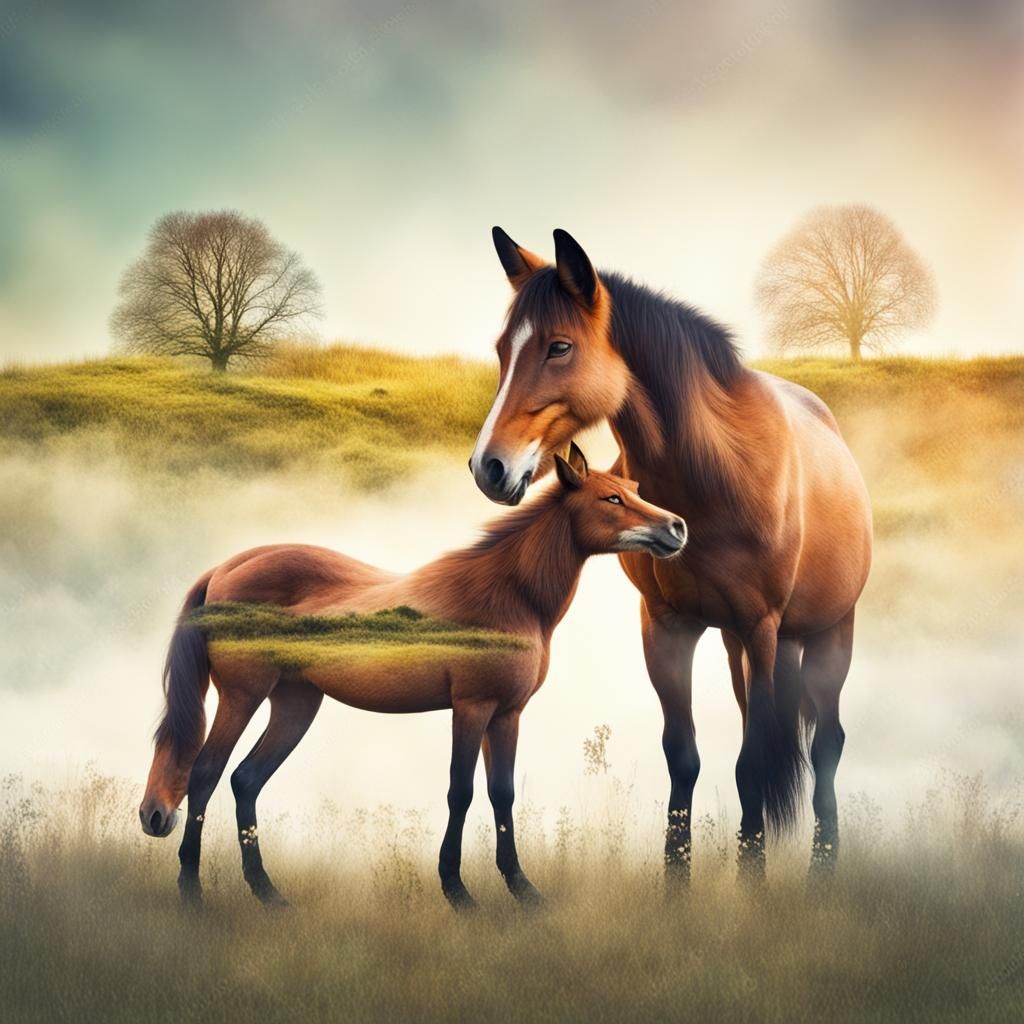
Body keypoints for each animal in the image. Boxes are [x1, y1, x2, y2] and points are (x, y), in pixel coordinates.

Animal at [139, 445, 687, 909]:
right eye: (611, 497)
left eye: (634, 488)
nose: (677, 527)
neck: (507, 595)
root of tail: (225, 568)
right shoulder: (471, 707)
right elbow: (461, 791)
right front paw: (457, 891)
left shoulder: (507, 713)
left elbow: (502, 793)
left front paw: (524, 891)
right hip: (243, 695)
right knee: (206, 773)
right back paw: (192, 891)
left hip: (296, 704)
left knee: (246, 779)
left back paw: (269, 894)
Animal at [469, 227, 872, 881]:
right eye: (504, 348)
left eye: (559, 347)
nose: (490, 467)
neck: (715, 472)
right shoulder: (667, 628)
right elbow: (683, 757)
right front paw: (675, 881)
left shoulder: (761, 628)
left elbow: (753, 762)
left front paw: (752, 880)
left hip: (829, 633)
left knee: (827, 743)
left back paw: (822, 870)